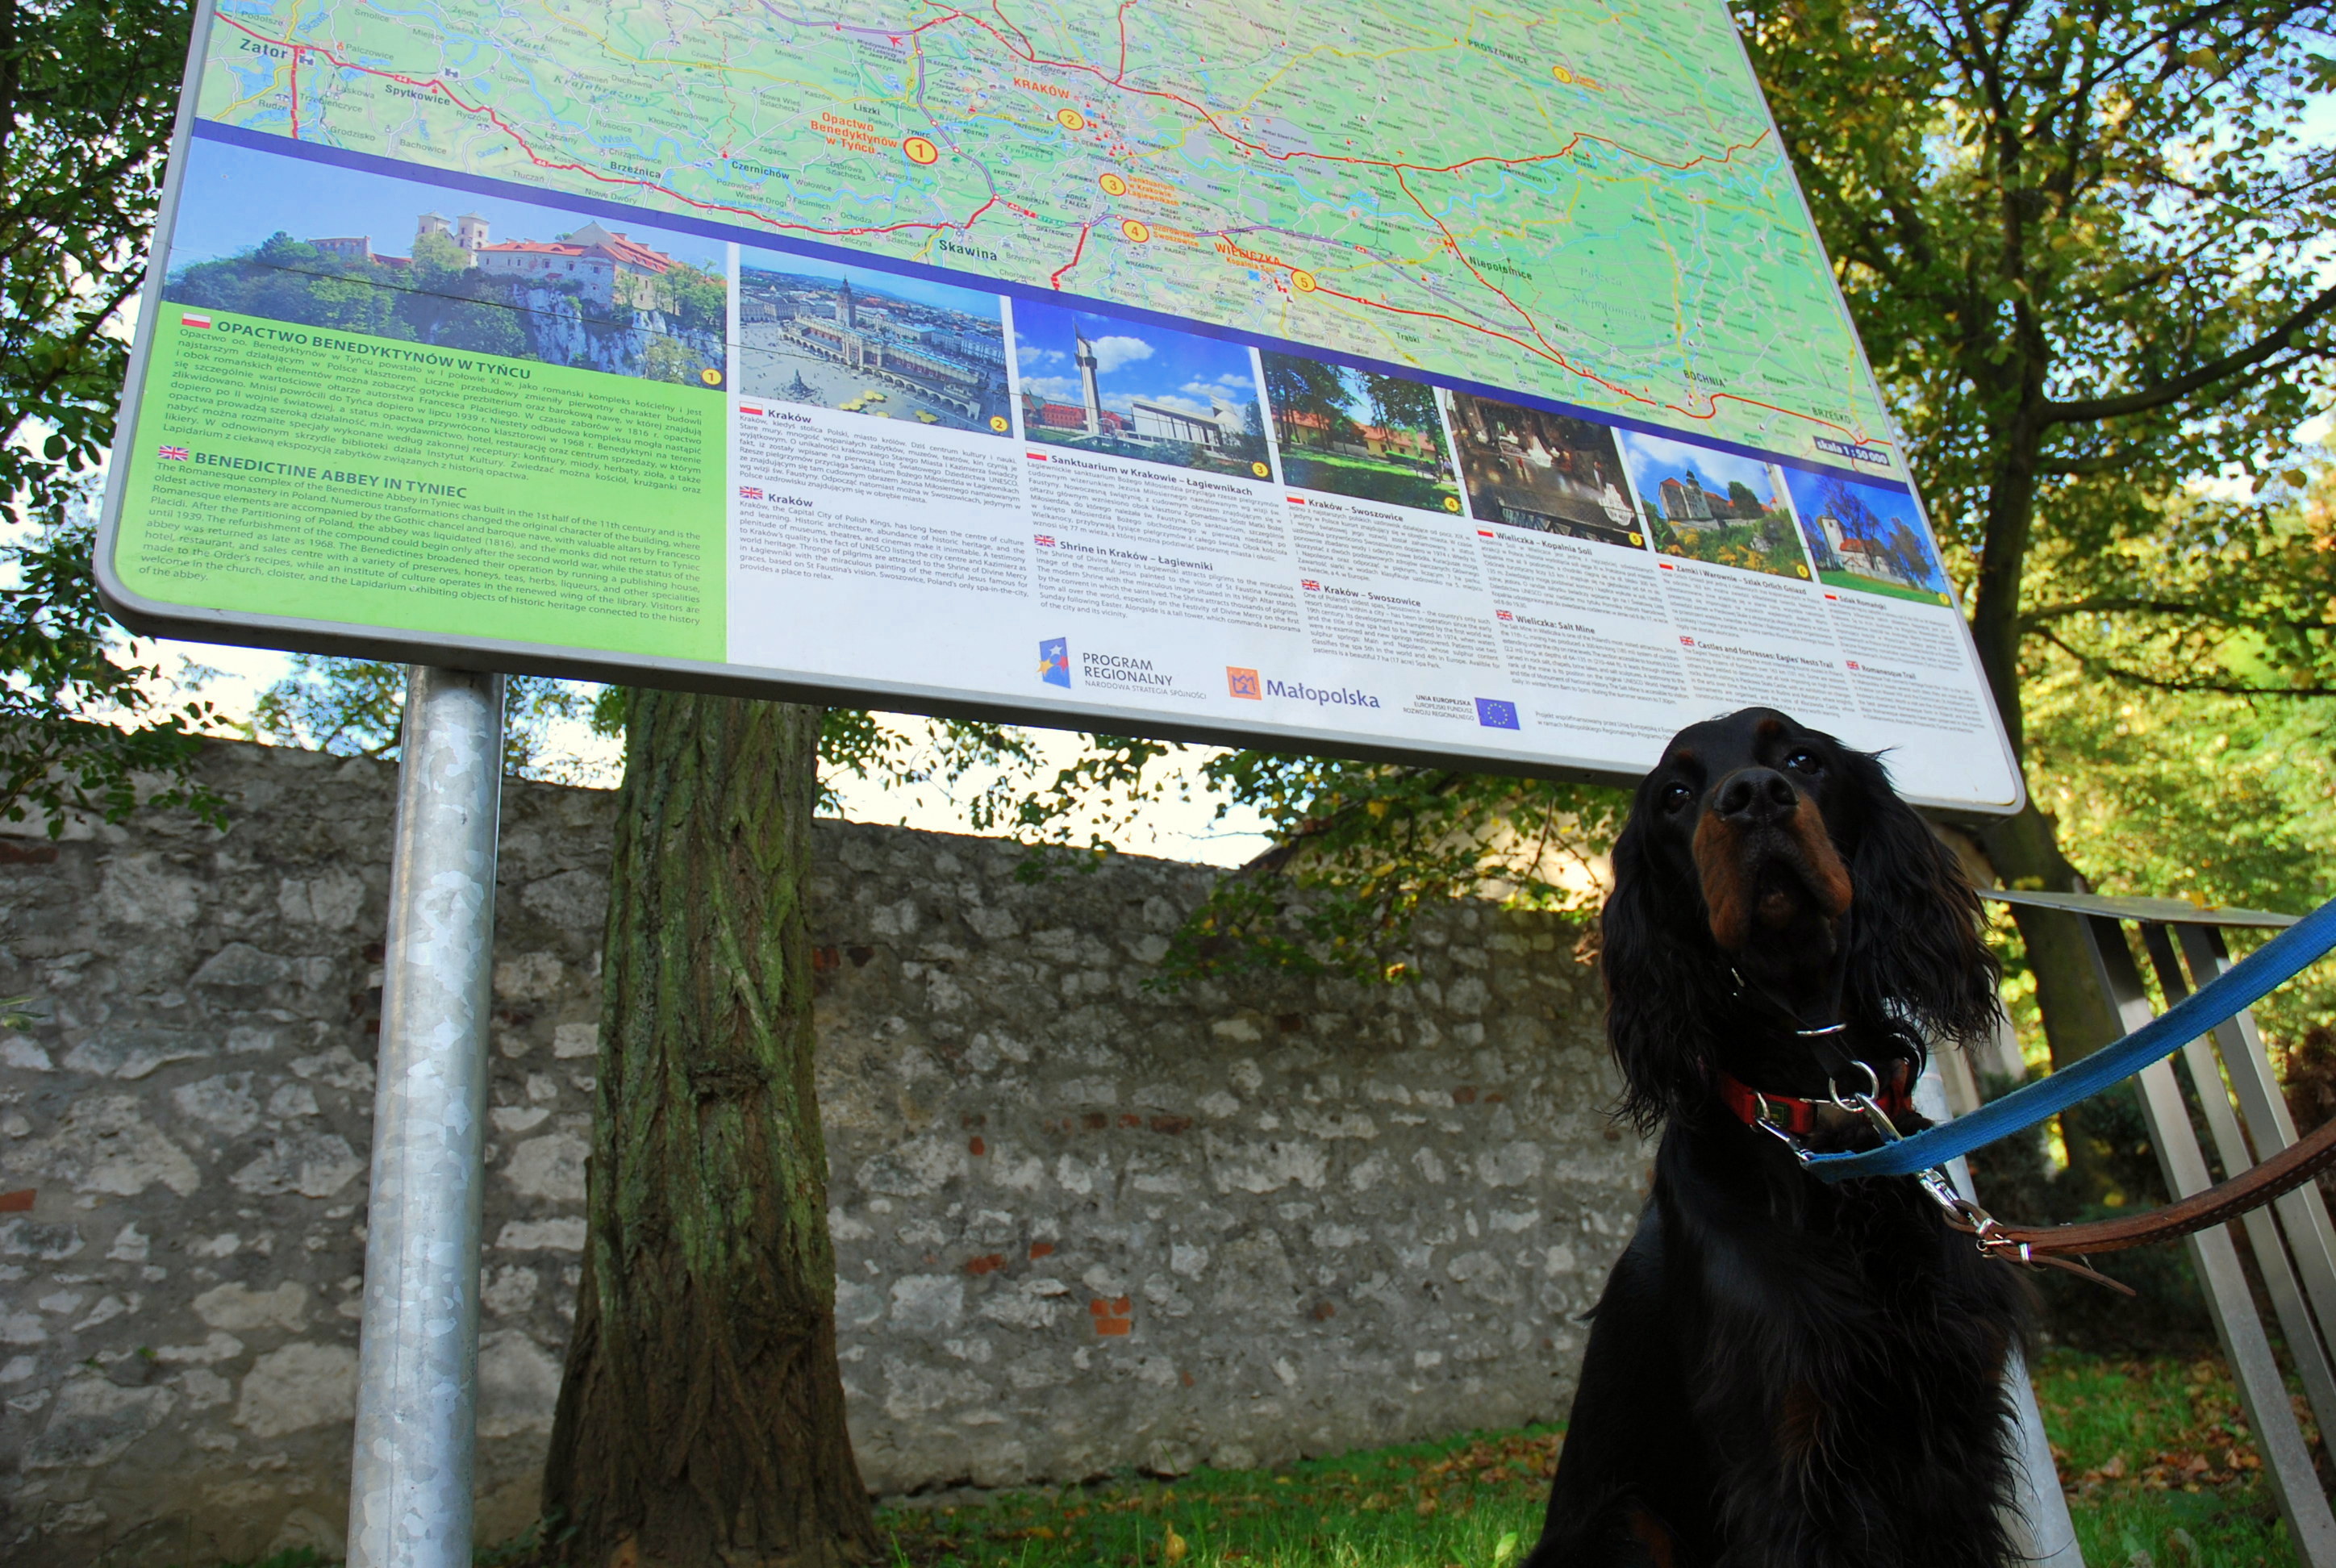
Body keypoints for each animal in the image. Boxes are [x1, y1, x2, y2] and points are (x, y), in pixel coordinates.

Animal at [1525, 707, 2031, 1568]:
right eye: (1676, 796)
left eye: (1803, 759)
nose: (1754, 797)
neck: (1826, 1116)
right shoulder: (1784, 1458)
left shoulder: (1957, 1432)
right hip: (1628, 1524)